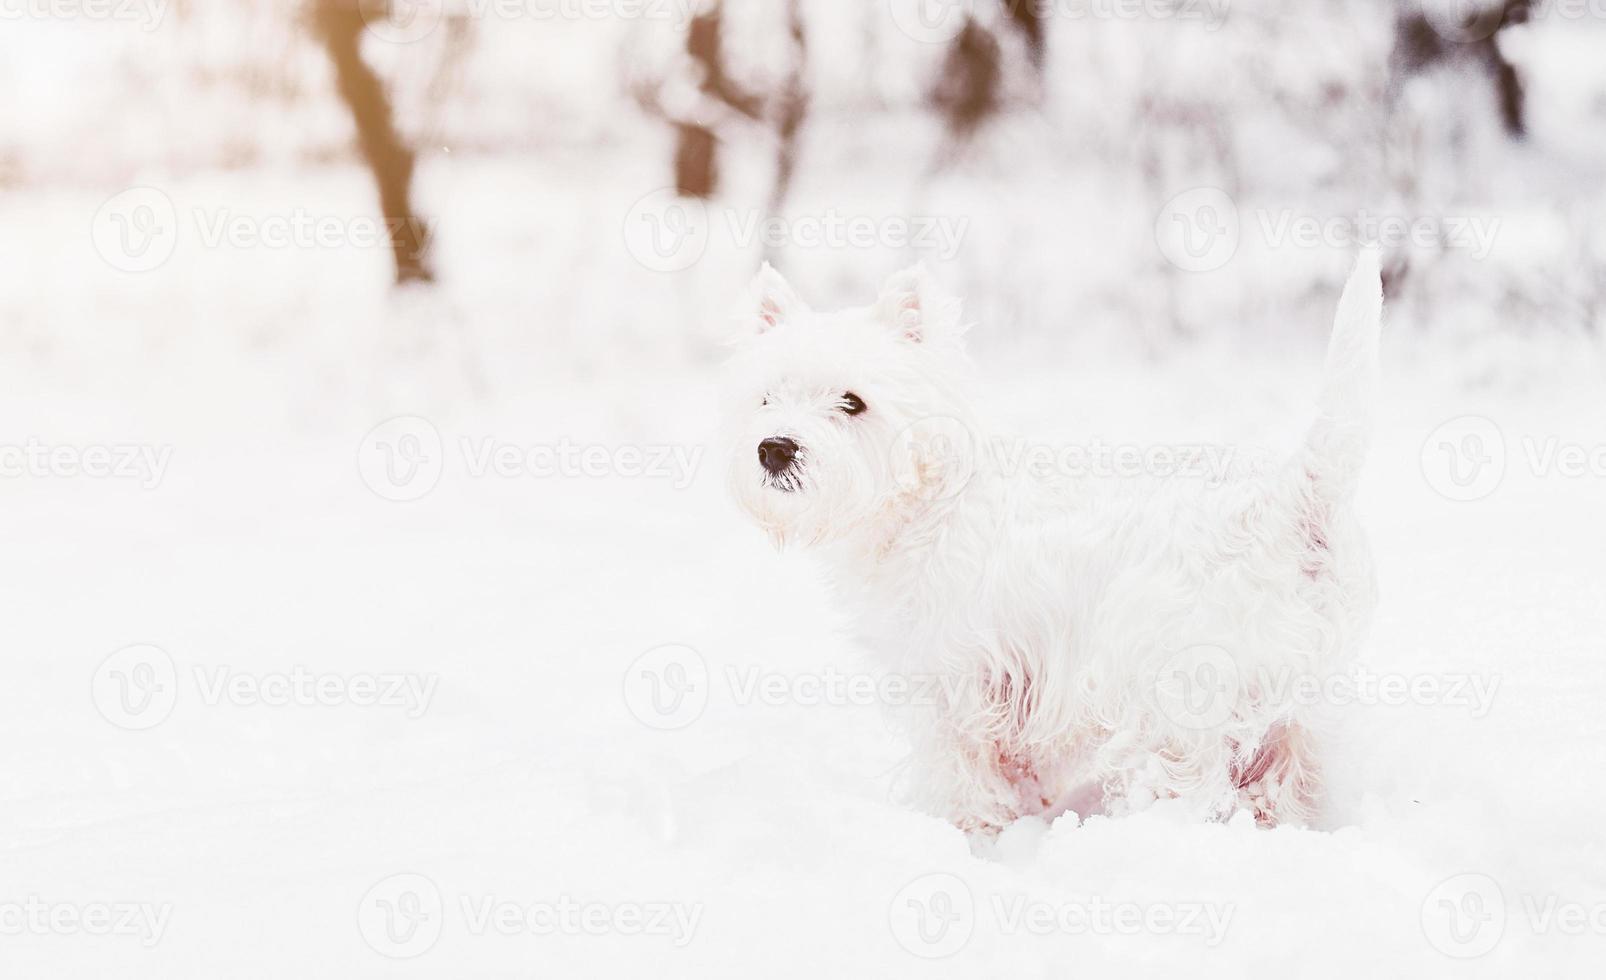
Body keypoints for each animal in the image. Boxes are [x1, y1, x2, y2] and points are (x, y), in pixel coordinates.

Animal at [729, 253, 1381, 828]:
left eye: (853, 402)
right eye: (765, 397)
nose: (775, 449)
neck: (930, 497)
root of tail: (1294, 499)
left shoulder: (955, 680)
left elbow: (964, 768)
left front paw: (971, 828)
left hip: (1171, 692)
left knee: (1186, 787)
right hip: (1304, 708)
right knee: (1289, 781)